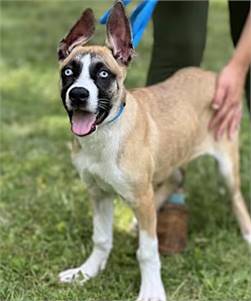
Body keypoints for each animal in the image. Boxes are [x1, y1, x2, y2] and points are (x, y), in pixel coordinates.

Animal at [56, 2, 251, 300]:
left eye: (103, 74)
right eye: (69, 72)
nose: (78, 94)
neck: (105, 134)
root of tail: (211, 75)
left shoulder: (139, 196)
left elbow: (147, 251)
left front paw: (151, 289)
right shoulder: (98, 192)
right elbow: (101, 238)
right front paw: (87, 272)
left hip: (226, 162)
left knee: (236, 198)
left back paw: (248, 234)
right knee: (174, 179)